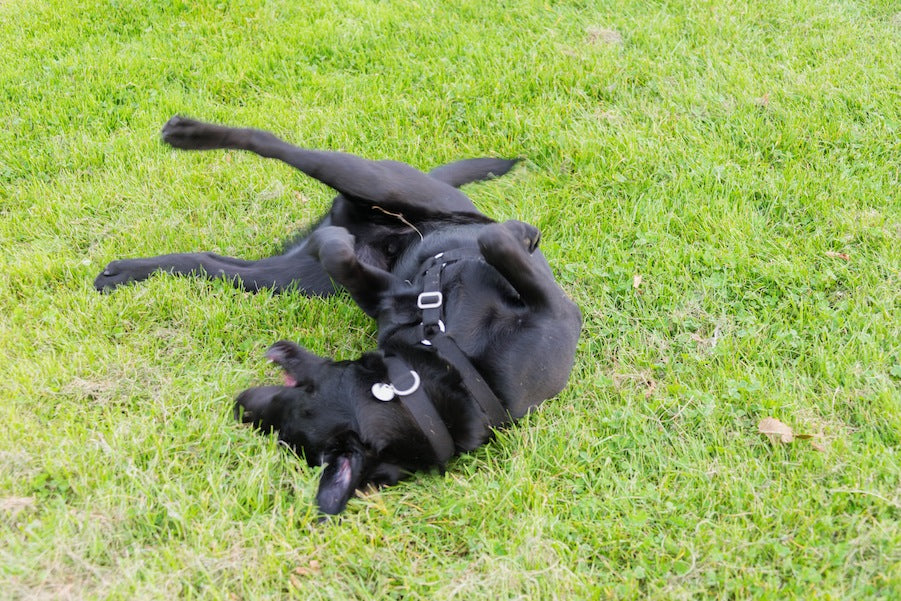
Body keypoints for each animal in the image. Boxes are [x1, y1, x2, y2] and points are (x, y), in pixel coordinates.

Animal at [95, 116, 580, 510]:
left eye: (286, 418)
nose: (239, 406)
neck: (450, 362)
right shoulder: (390, 293)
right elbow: (487, 241)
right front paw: (520, 232)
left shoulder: (554, 312)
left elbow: (490, 241)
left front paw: (517, 233)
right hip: (371, 189)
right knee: (272, 148)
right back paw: (183, 140)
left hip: (305, 262)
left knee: (215, 259)